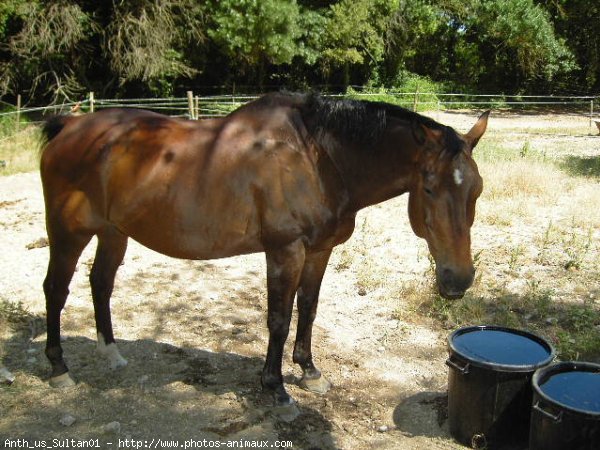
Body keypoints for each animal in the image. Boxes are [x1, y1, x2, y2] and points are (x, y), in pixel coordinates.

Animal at [37, 91, 490, 408]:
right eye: (428, 187)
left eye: (477, 190)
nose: (458, 279)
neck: (317, 159)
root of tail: (70, 125)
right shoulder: (285, 251)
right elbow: (278, 319)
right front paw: (275, 387)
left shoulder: (319, 251)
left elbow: (308, 309)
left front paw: (308, 371)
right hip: (68, 233)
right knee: (56, 290)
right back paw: (59, 368)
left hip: (113, 232)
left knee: (100, 284)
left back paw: (111, 354)